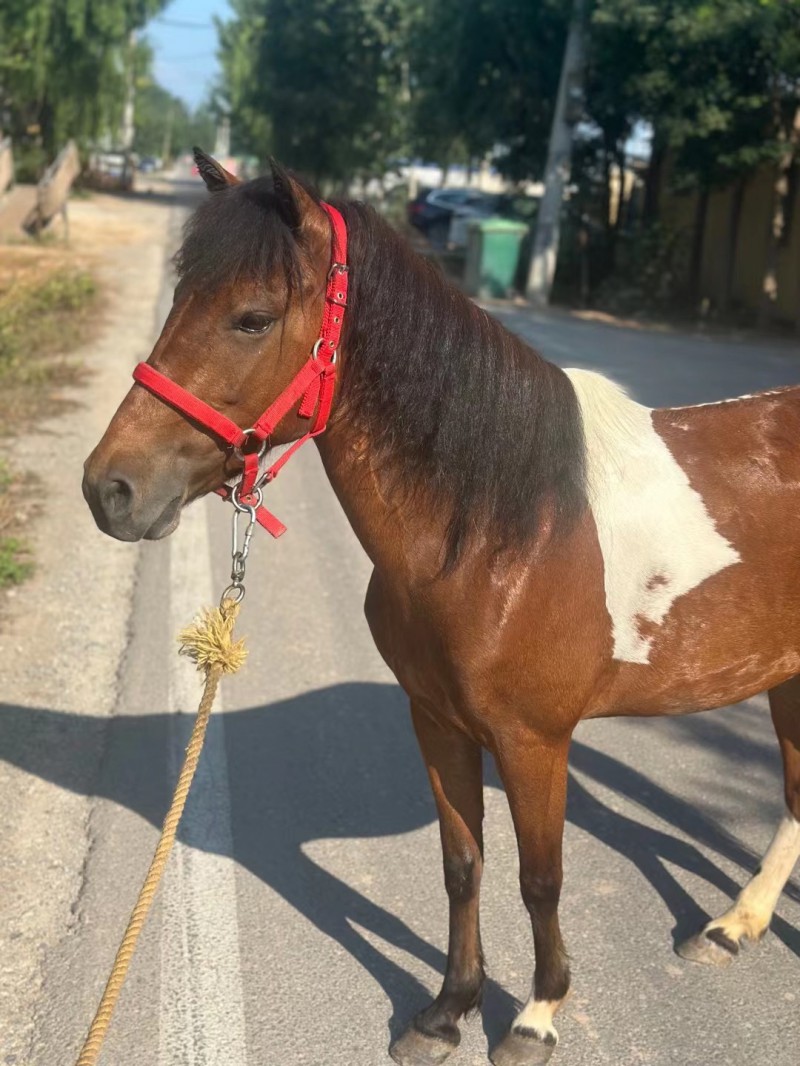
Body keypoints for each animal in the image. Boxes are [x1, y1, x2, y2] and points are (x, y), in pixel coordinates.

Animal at [83, 155, 800, 1066]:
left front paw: (534, 1015)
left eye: (252, 318)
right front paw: (447, 1010)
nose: (110, 489)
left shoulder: (534, 742)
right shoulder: (436, 720)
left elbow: (541, 878)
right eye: (179, 300)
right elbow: (463, 862)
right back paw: (735, 926)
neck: (502, 532)